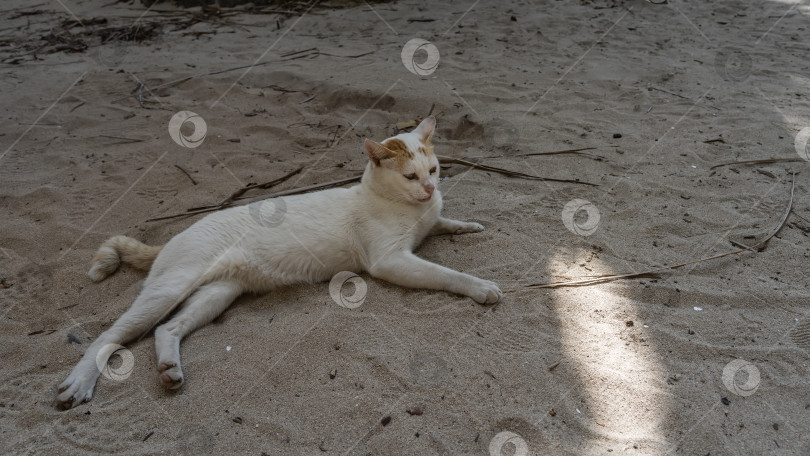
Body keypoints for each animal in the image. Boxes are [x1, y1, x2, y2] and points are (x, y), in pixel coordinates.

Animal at [55, 116, 498, 408]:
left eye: (435, 170)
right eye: (410, 176)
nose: (429, 189)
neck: (408, 207)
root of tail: (174, 237)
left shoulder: (426, 225)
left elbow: (443, 223)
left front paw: (469, 226)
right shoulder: (390, 260)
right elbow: (446, 274)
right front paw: (480, 287)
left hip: (217, 294)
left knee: (168, 328)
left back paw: (169, 370)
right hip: (168, 289)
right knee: (110, 335)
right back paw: (79, 383)